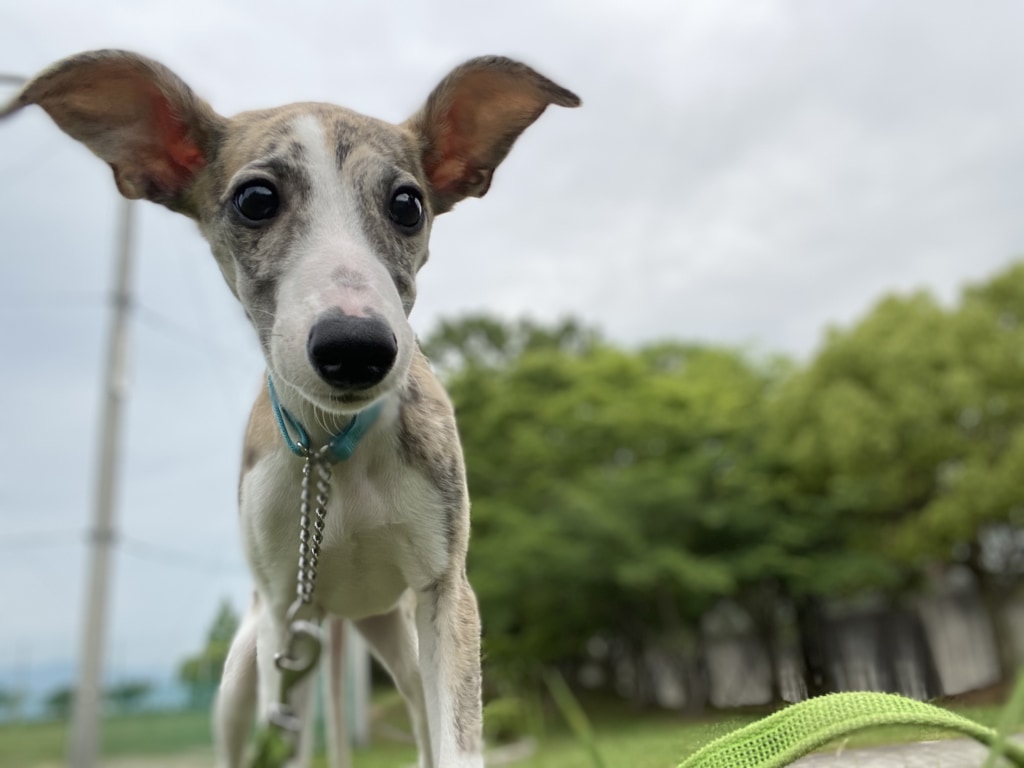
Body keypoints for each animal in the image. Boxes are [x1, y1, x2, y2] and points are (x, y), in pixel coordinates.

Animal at [2, 51, 577, 765]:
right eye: (255, 199)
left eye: (408, 204)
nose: (356, 349)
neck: (333, 450)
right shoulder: (283, 612)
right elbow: (291, 742)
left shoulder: (445, 590)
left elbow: (454, 742)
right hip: (249, 664)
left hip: (394, 635)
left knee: (418, 718)